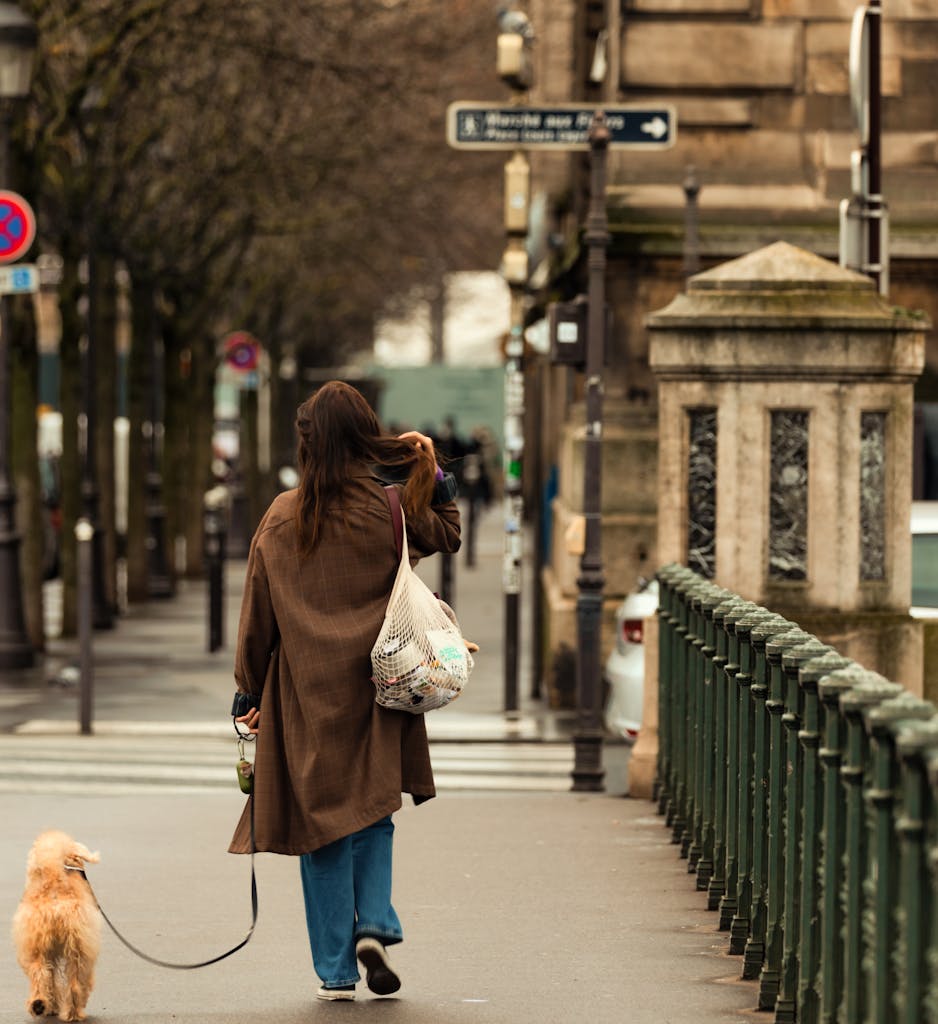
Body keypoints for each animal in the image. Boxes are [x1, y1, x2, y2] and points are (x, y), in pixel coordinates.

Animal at [11, 827, 102, 1019]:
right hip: (77, 950)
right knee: (74, 983)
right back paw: (73, 1012)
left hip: (41, 947)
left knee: (40, 973)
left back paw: (40, 1005)